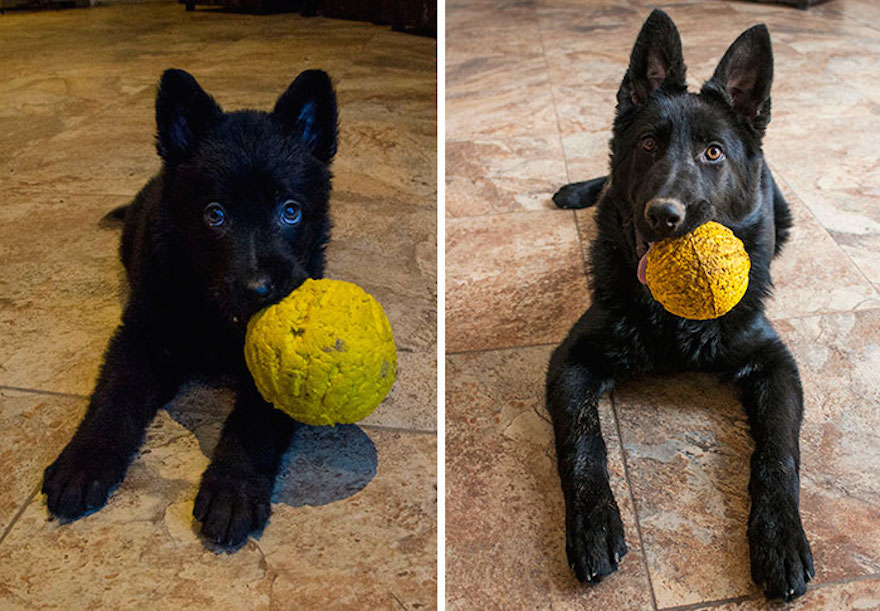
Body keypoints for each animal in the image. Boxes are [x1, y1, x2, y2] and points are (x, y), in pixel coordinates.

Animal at [44, 69, 340, 548]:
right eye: (214, 215)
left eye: (291, 211)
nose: (259, 290)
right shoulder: (141, 336)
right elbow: (113, 396)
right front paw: (82, 462)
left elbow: (254, 421)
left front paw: (232, 488)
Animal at [548, 8, 816, 604]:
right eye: (649, 145)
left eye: (712, 152)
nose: (663, 215)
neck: (671, 321)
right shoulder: (571, 360)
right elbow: (582, 439)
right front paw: (594, 523)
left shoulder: (775, 365)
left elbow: (778, 453)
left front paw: (780, 537)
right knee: (605, 182)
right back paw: (576, 190)